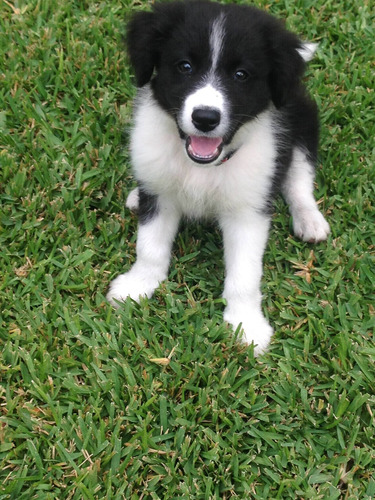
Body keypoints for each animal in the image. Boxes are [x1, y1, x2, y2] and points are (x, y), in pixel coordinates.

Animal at [107, 0, 330, 356]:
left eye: (241, 75)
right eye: (184, 66)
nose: (205, 118)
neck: (202, 168)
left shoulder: (247, 211)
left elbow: (245, 274)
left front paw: (246, 325)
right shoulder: (160, 192)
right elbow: (150, 247)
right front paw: (137, 286)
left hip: (302, 118)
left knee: (298, 176)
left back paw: (309, 219)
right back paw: (134, 197)